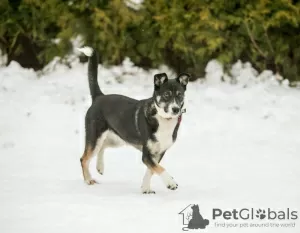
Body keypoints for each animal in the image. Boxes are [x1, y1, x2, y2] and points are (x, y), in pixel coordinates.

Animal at [77, 46, 190, 194]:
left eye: (180, 95)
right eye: (166, 95)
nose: (175, 109)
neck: (163, 119)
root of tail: (99, 97)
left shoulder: (158, 153)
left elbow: (151, 171)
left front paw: (146, 189)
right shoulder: (146, 155)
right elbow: (159, 168)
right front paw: (170, 182)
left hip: (118, 138)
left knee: (103, 147)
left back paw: (100, 167)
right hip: (95, 136)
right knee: (84, 158)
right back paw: (88, 180)